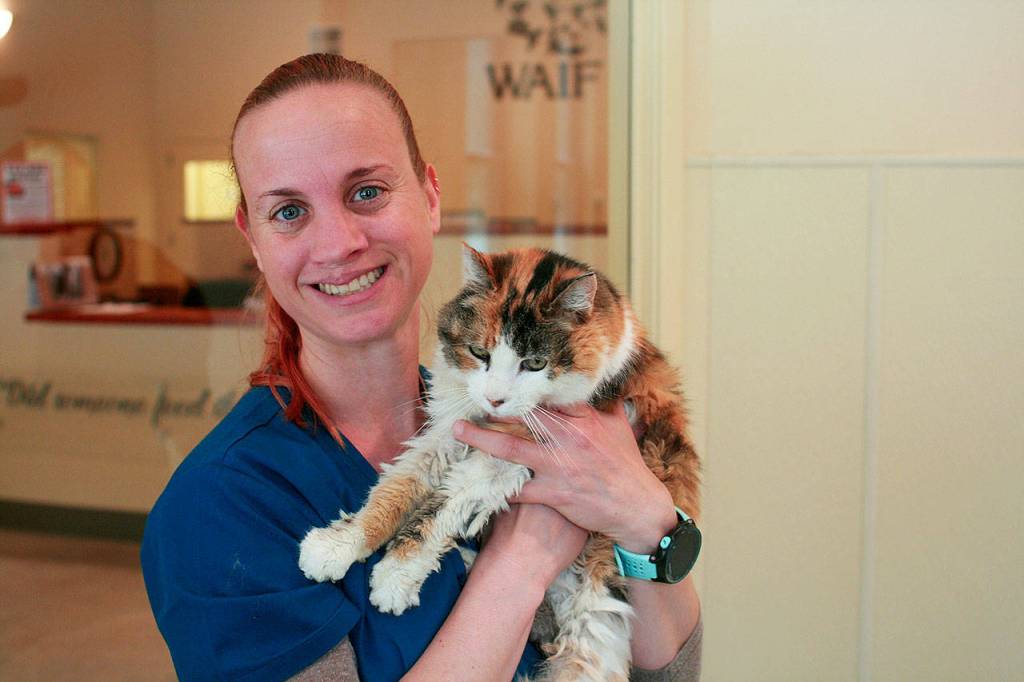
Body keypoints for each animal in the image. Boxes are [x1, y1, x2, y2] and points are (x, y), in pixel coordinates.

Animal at [298, 244, 701, 682]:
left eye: (536, 364)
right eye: (480, 353)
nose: (495, 399)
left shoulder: (510, 456)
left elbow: (440, 509)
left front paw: (394, 576)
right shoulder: (447, 431)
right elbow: (393, 491)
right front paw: (336, 546)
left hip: (593, 602)